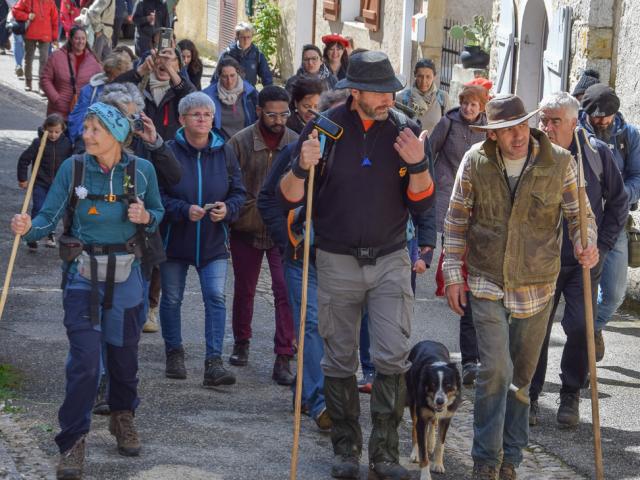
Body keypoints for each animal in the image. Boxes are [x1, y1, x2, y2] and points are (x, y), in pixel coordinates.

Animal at [408, 340, 462, 478]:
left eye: (448, 385)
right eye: (433, 384)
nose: (440, 401)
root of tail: (428, 341)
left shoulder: (447, 417)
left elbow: (440, 444)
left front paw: (438, 465)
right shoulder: (421, 419)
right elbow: (423, 454)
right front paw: (425, 476)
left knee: (433, 421)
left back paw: (430, 443)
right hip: (412, 401)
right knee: (414, 428)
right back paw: (415, 453)